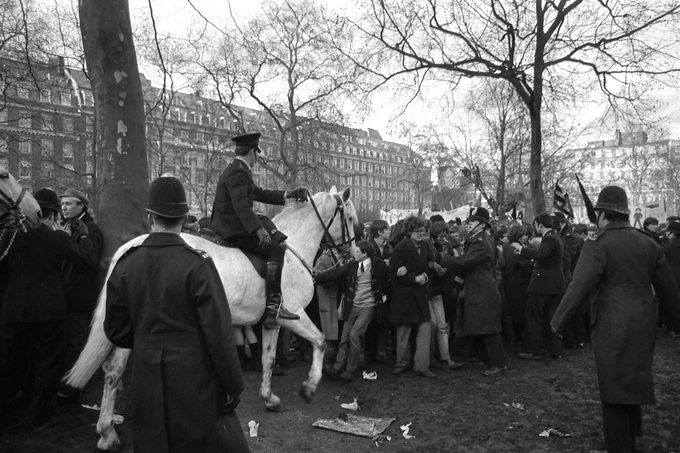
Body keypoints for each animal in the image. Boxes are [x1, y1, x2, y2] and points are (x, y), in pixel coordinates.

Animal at [66, 186, 358, 448]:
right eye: (352, 219)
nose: (354, 255)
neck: (293, 248)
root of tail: (129, 248)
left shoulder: (273, 321)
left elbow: (269, 358)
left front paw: (269, 397)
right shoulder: (293, 315)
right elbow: (321, 341)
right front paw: (309, 387)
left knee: (112, 371)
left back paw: (107, 432)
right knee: (115, 370)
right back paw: (109, 432)